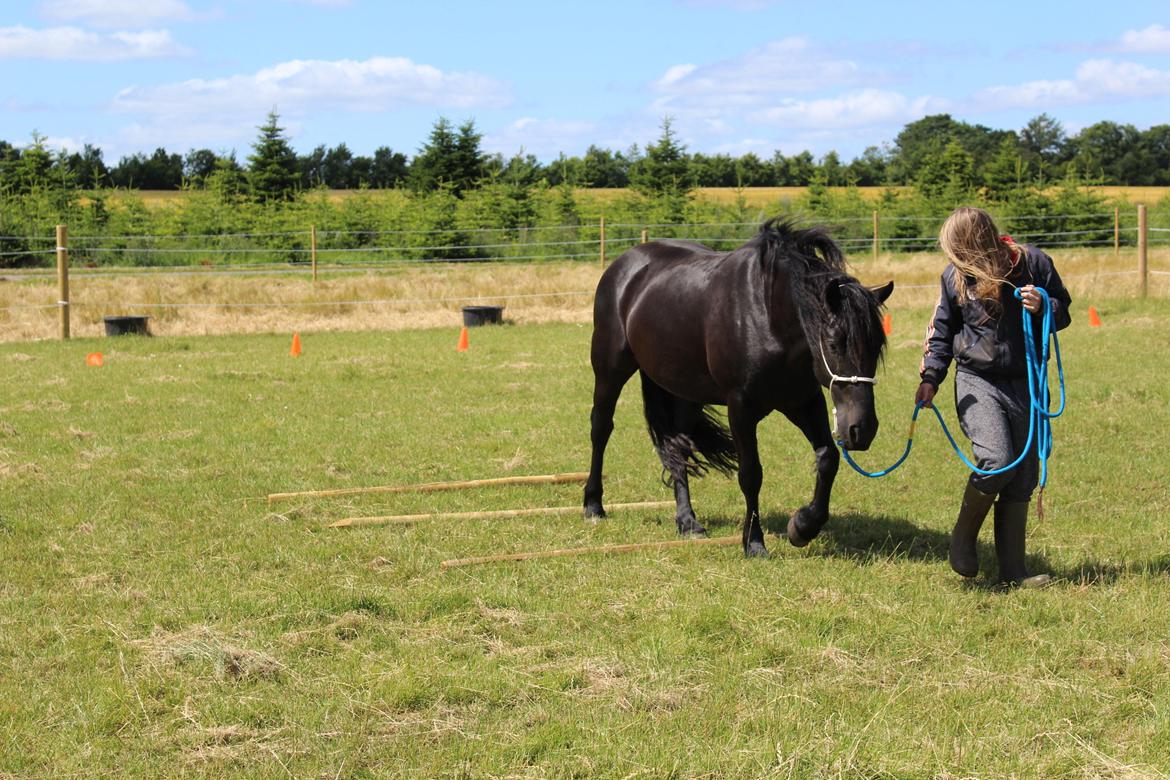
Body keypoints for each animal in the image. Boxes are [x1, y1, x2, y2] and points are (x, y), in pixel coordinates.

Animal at [585, 219, 893, 558]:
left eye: (877, 346)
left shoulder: (802, 401)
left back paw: (688, 521)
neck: (769, 316)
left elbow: (828, 458)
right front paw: (754, 543)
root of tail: (626, 263)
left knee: (678, 446)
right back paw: (593, 505)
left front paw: (802, 526)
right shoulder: (741, 407)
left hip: (686, 393)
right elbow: (751, 474)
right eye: (835, 343)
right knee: (601, 428)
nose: (861, 429)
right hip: (610, 370)